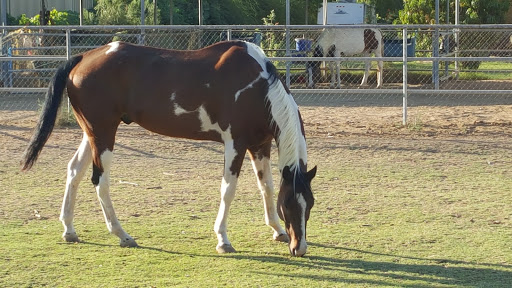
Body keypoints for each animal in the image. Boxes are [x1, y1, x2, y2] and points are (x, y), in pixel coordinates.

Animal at [21, 40, 316, 256]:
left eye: (309, 204)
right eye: (289, 204)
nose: (299, 248)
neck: (258, 87)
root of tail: (83, 57)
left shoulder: (259, 145)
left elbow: (266, 186)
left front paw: (276, 230)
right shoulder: (235, 144)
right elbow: (228, 190)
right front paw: (223, 239)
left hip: (92, 133)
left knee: (74, 171)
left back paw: (69, 230)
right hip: (104, 135)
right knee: (100, 181)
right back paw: (122, 235)